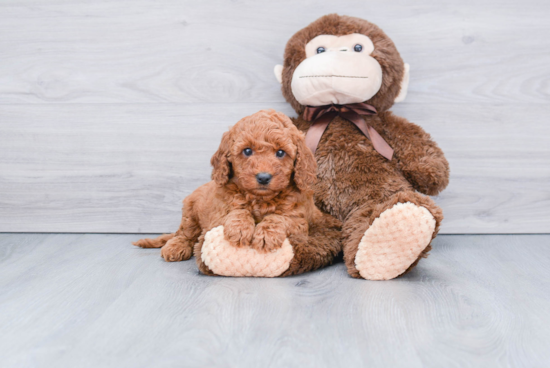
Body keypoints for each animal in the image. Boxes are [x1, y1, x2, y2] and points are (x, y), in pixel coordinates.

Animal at [134, 109, 340, 276]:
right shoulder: (217, 216)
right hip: (190, 212)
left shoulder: (299, 220)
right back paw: (175, 247)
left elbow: (279, 218)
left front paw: (266, 235)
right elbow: (237, 211)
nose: (263, 177)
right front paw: (240, 228)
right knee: (185, 234)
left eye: (281, 153)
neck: (260, 199)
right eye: (247, 151)